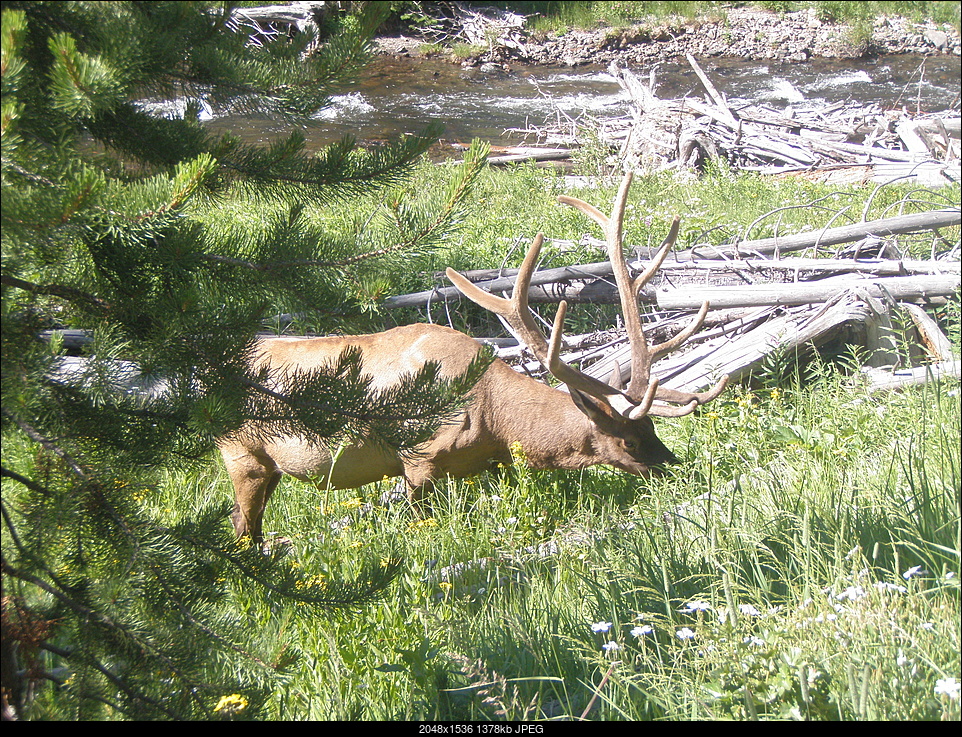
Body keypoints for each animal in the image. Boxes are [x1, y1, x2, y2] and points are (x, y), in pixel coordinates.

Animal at [219, 172, 728, 540]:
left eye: (653, 427)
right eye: (627, 441)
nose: (673, 467)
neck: (492, 420)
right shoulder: (417, 459)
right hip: (240, 452)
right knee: (243, 525)